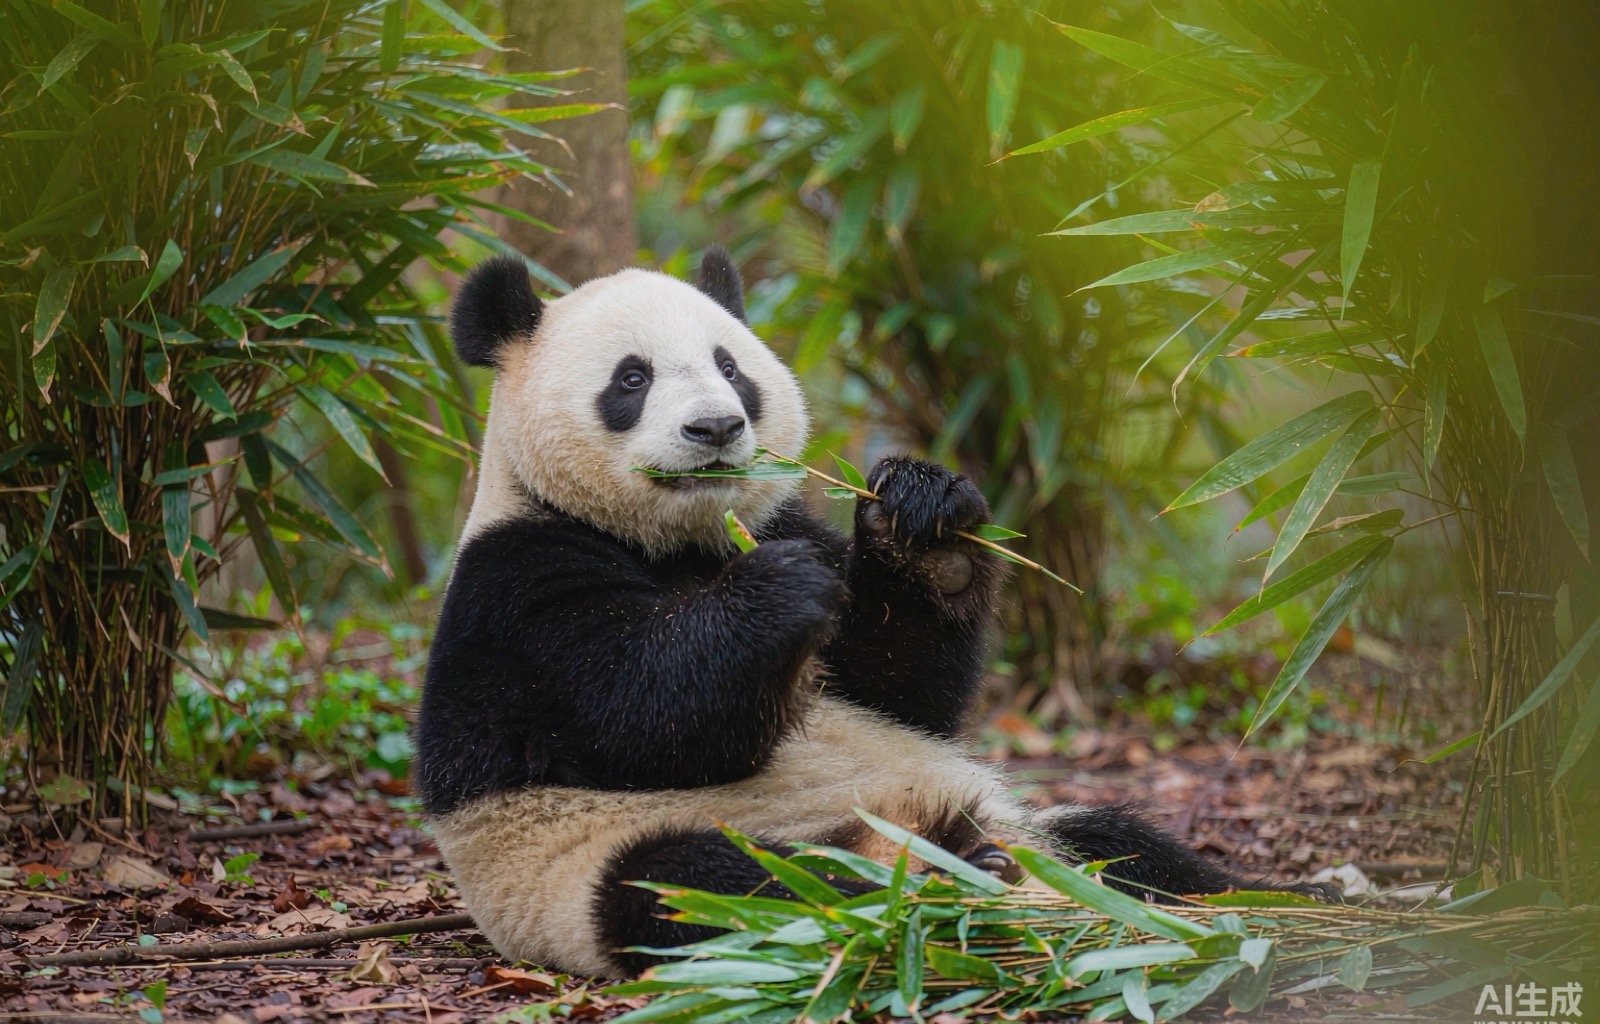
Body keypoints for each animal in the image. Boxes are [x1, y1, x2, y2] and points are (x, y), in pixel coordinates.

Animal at [416, 249, 1329, 978]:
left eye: (731, 367)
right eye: (631, 379)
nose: (716, 427)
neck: (679, 541)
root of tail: (908, 834)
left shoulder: (784, 525)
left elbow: (899, 690)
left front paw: (926, 524)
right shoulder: (515, 588)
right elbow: (640, 721)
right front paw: (776, 594)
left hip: (1030, 820)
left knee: (1124, 844)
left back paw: (1273, 896)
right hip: (602, 866)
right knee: (709, 887)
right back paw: (932, 889)